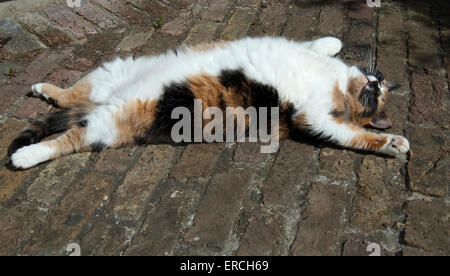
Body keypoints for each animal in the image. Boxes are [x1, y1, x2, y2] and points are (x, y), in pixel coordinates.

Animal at [7, 35, 410, 169]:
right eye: (374, 90)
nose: (375, 79)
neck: (335, 80)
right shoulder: (311, 57)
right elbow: (325, 42)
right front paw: (335, 46)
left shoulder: (313, 118)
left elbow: (353, 135)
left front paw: (392, 143)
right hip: (107, 72)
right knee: (69, 95)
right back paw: (42, 88)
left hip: (110, 120)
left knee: (69, 138)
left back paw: (24, 157)